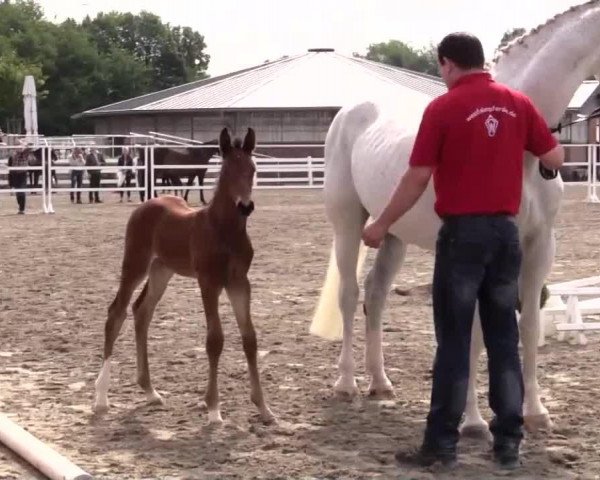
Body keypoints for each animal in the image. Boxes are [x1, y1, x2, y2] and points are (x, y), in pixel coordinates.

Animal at [94, 127, 274, 424]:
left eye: (252, 169)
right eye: (227, 170)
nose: (245, 206)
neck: (223, 230)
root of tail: (147, 203)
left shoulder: (239, 282)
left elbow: (250, 338)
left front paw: (263, 407)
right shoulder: (208, 282)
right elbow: (215, 340)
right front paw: (213, 409)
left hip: (161, 271)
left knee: (142, 311)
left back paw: (150, 391)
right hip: (135, 265)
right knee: (115, 313)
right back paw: (101, 397)